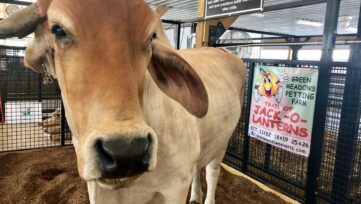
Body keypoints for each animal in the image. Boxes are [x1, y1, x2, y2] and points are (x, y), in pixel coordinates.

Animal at [0, 0, 246, 203]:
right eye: (58, 30)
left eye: (150, 38)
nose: (126, 151)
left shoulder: (175, 189)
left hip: (222, 143)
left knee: (212, 172)